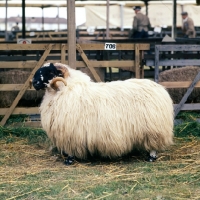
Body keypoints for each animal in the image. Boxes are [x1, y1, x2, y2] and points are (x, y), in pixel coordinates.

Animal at [32, 62, 174, 164]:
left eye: (51, 72)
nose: (33, 82)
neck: (64, 90)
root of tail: (161, 89)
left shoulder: (70, 131)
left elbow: (70, 148)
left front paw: (69, 160)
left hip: (153, 128)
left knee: (154, 145)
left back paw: (150, 157)